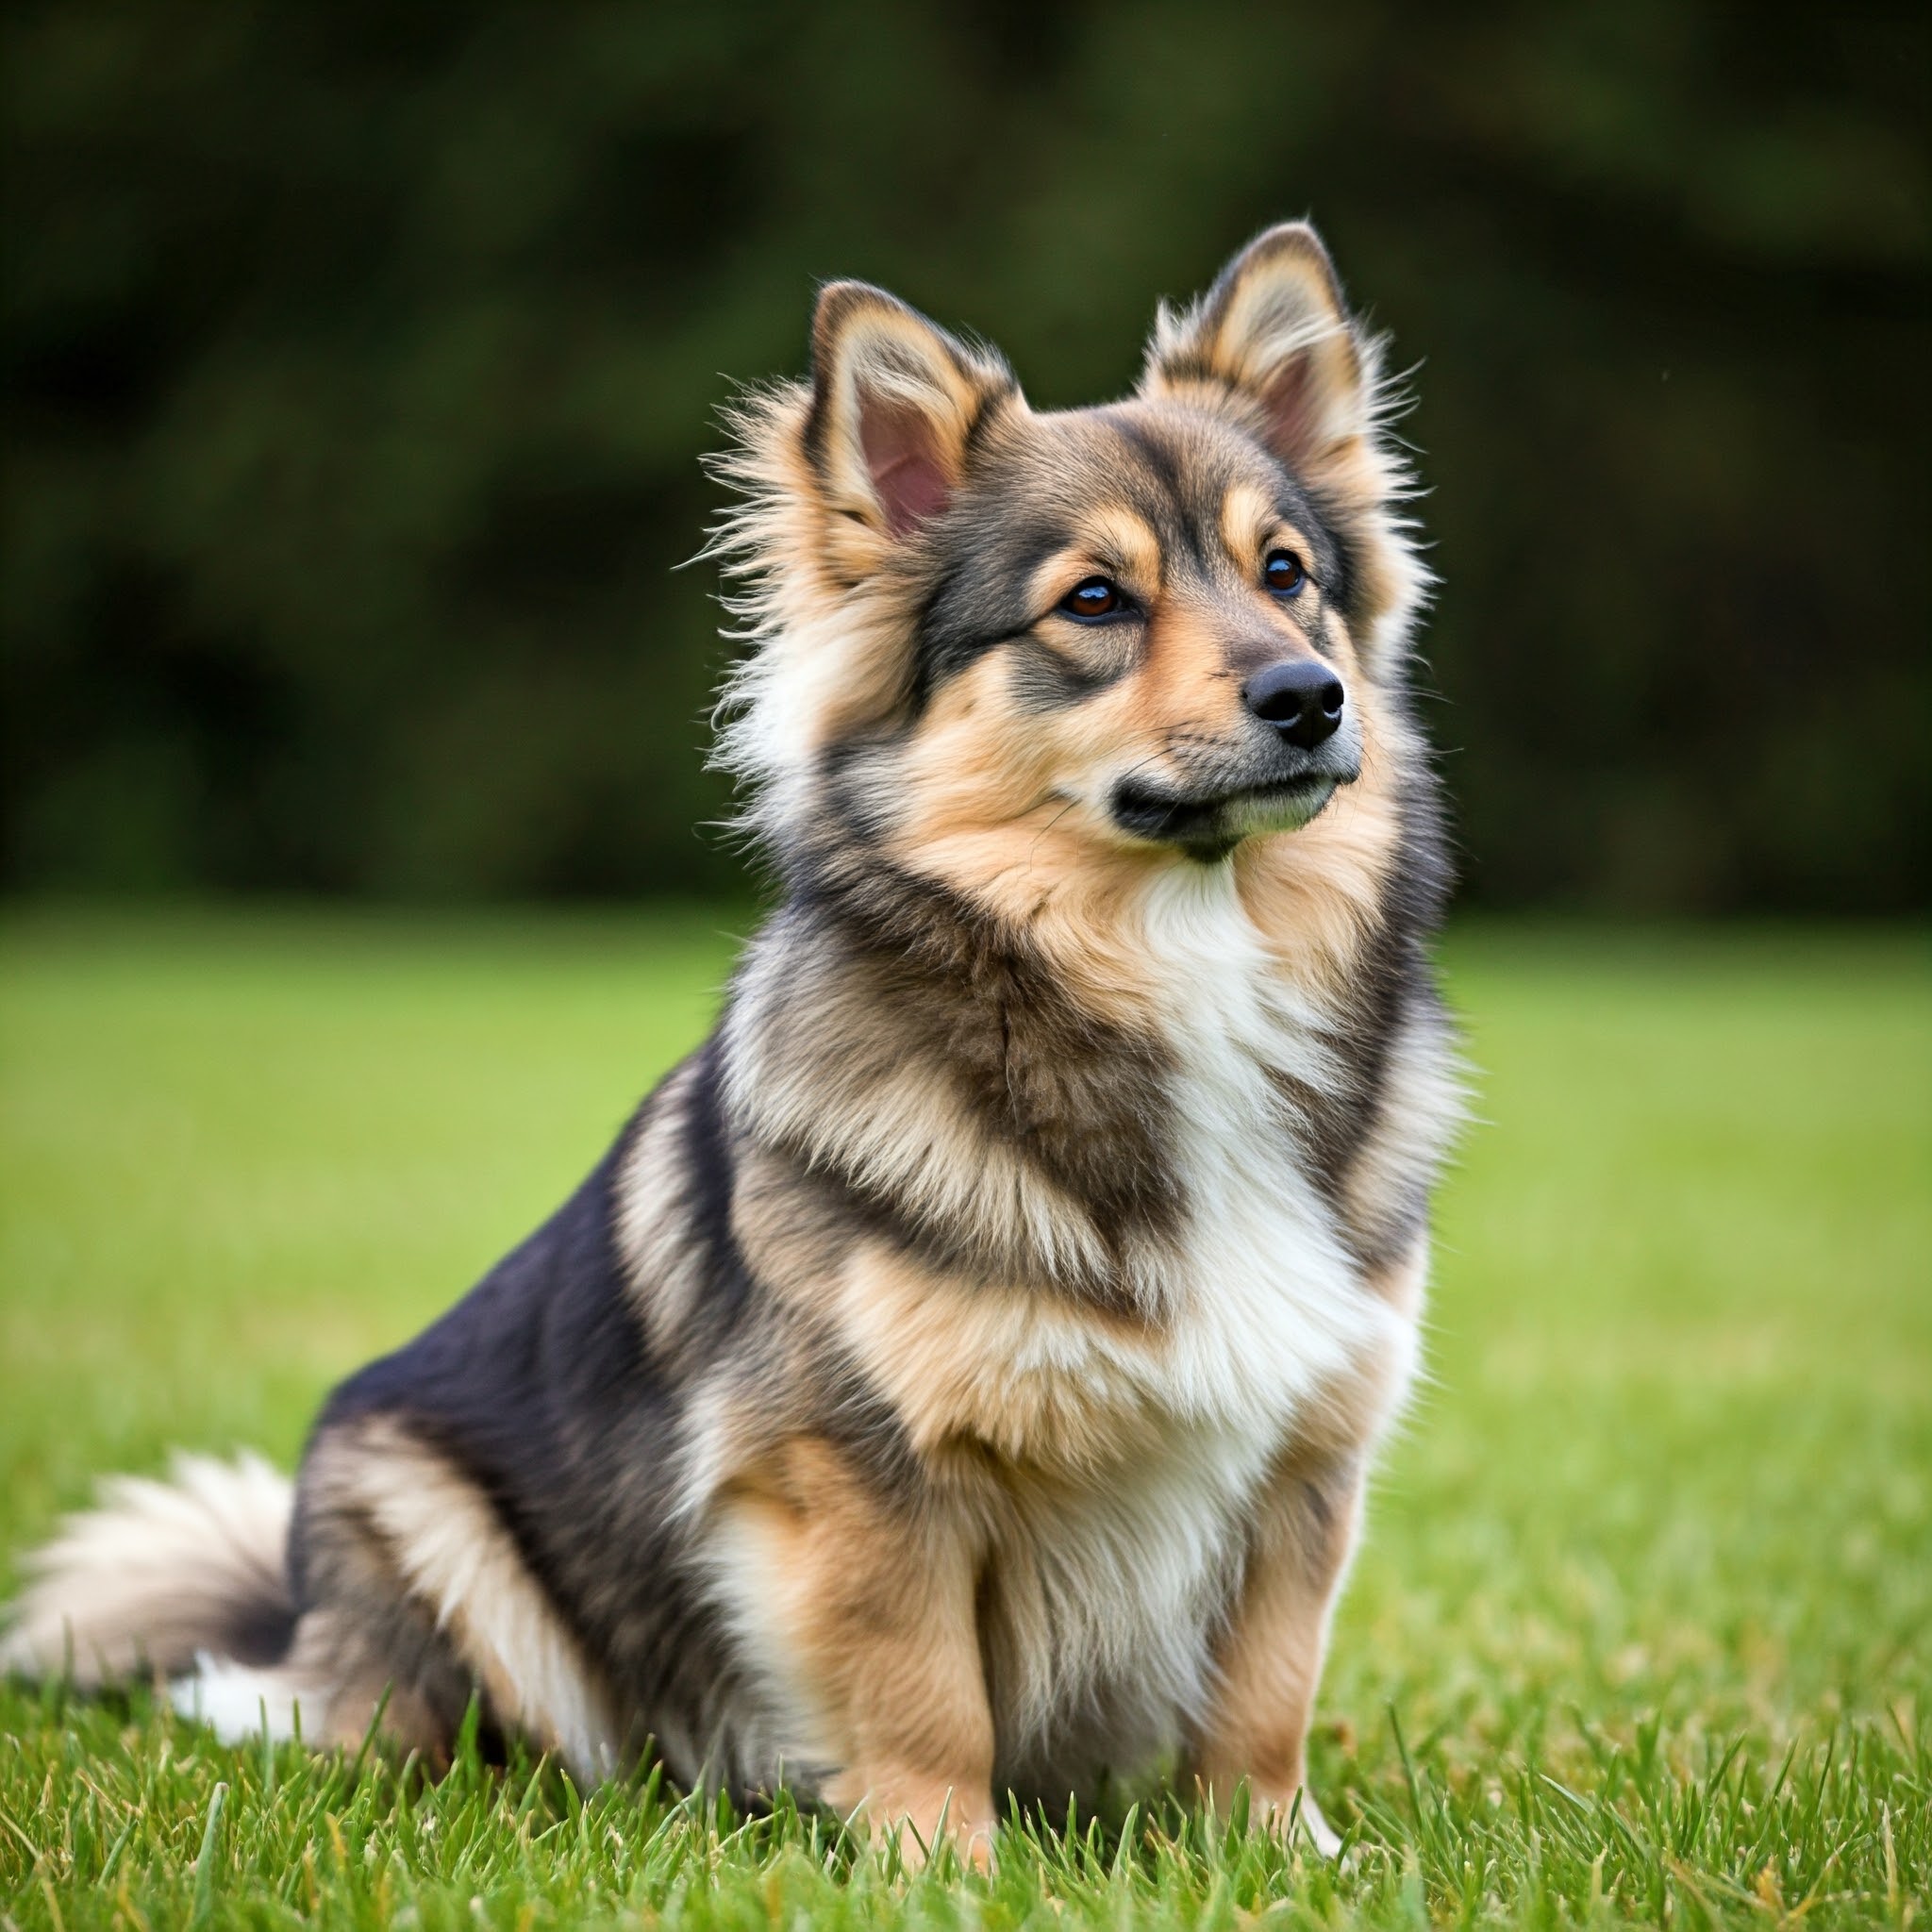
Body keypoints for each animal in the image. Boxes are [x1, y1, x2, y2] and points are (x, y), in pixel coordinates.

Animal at [0, 219, 1453, 1862]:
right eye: (1093, 602)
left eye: (1288, 576)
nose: (1309, 696)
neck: (1177, 959)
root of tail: (288, 1635)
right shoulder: (858, 1466)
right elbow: (924, 1695)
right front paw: (944, 1866)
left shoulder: (1306, 1453)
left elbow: (1263, 1697)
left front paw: (1278, 1858)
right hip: (419, 1505)